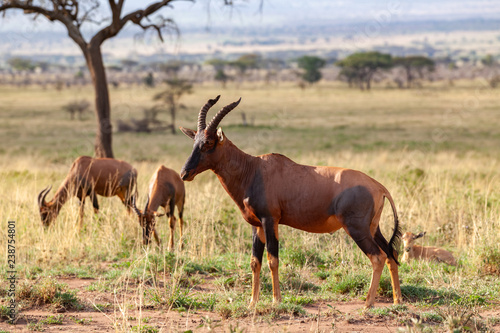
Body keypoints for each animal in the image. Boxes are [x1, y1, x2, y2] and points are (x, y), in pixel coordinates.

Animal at [179, 95, 402, 306]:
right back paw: (397, 300)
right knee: (391, 254)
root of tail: (379, 186)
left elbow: (273, 259)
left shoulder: (270, 220)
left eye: (208, 142)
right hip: (373, 228)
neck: (253, 169)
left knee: (378, 257)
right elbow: (255, 261)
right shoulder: (256, 224)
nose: (184, 173)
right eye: (194, 141)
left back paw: (368, 304)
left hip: (357, 229)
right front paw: (252, 303)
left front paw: (276, 300)